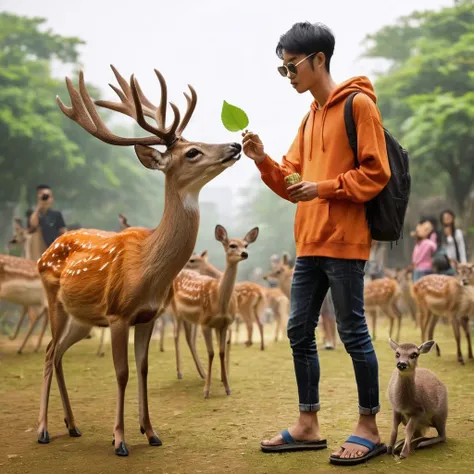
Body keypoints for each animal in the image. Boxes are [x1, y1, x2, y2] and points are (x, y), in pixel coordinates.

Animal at [36, 66, 241, 456]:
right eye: (192, 152)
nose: (235, 145)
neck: (148, 269)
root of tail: (46, 250)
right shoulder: (118, 314)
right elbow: (122, 373)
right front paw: (119, 440)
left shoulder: (148, 316)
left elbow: (143, 369)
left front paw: (151, 432)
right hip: (53, 297)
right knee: (49, 352)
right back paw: (42, 429)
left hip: (82, 317)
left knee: (58, 353)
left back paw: (72, 425)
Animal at [171, 225, 260, 396]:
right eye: (232, 245)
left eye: (246, 245)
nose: (244, 254)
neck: (220, 301)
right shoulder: (206, 323)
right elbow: (211, 353)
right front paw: (207, 390)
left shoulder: (223, 324)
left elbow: (221, 351)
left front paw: (226, 385)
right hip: (175, 310)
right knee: (177, 336)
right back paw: (180, 372)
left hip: (192, 318)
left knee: (189, 338)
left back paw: (202, 373)